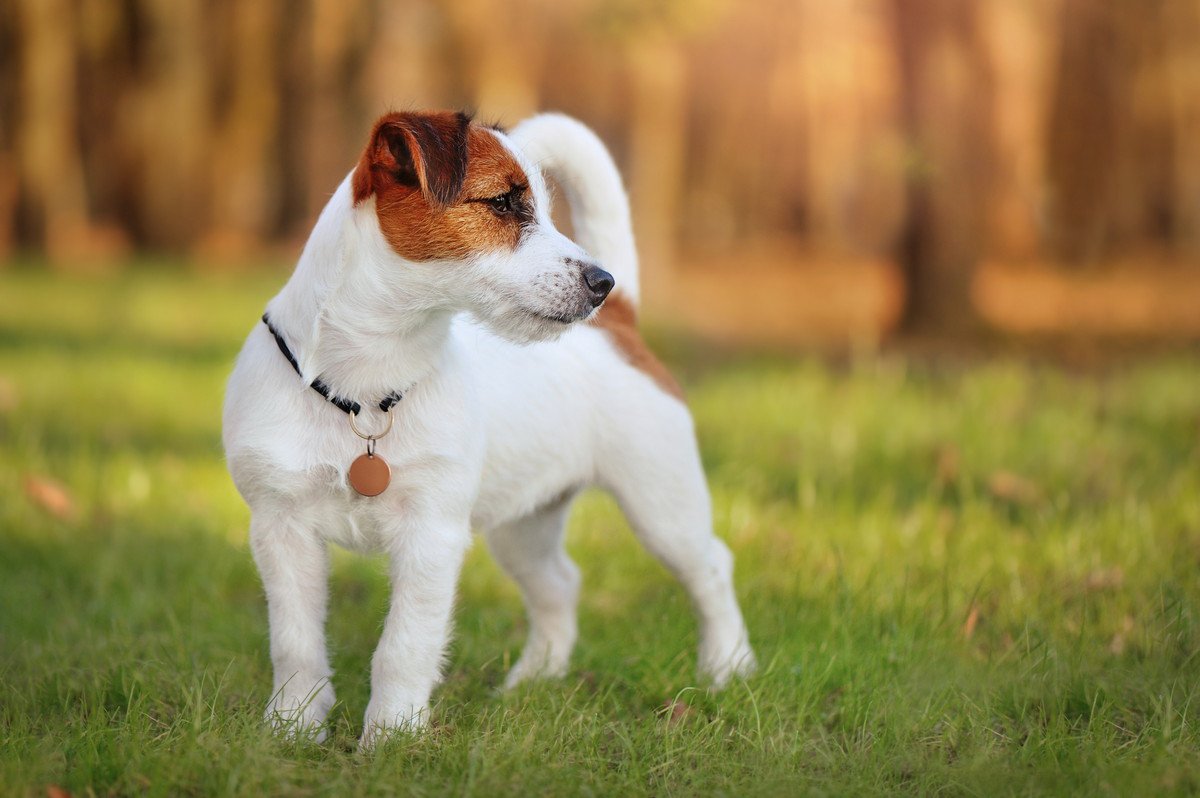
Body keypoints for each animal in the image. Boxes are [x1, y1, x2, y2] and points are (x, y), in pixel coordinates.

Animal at [220, 109, 753, 744]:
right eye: (502, 203)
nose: (603, 283)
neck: (366, 391)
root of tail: (621, 326)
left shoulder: (431, 535)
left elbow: (404, 646)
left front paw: (391, 738)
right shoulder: (282, 530)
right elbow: (296, 644)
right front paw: (292, 729)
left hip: (662, 504)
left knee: (712, 569)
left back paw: (727, 667)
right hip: (525, 525)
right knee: (559, 584)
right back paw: (533, 681)